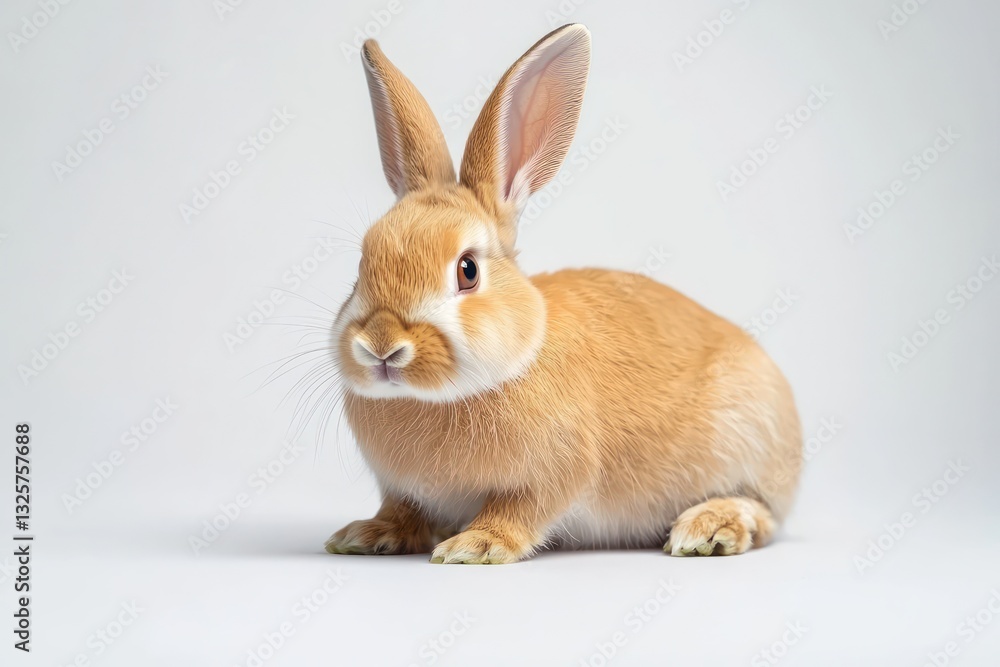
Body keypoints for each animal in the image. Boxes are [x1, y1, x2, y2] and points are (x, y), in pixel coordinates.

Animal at [323, 24, 801, 563]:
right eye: (362, 264)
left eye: (467, 271)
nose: (381, 345)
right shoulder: (401, 488)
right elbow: (403, 509)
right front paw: (365, 534)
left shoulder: (557, 472)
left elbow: (521, 509)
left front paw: (475, 545)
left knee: (761, 512)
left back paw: (709, 529)